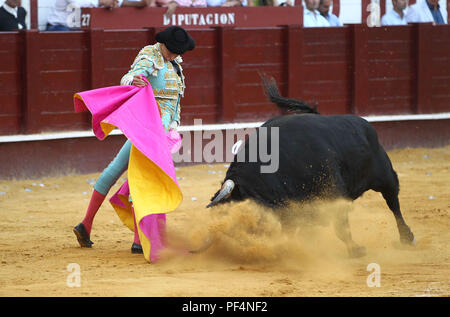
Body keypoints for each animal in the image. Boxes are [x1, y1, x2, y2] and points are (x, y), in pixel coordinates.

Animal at [200, 76, 414, 256]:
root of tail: (365, 126)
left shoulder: (334, 193)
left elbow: (341, 225)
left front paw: (356, 250)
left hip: (385, 176)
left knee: (393, 203)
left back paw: (407, 237)